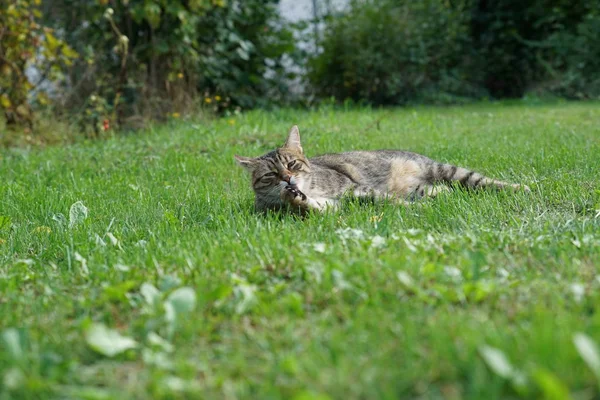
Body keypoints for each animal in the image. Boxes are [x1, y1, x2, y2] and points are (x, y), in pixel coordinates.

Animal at [234, 126, 528, 214]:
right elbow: (310, 207)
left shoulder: (356, 190)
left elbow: (387, 200)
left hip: (448, 170)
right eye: (271, 175)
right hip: (427, 184)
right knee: (440, 191)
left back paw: (521, 187)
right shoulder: (333, 204)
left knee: (483, 181)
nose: (288, 179)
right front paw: (294, 198)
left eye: (291, 164)